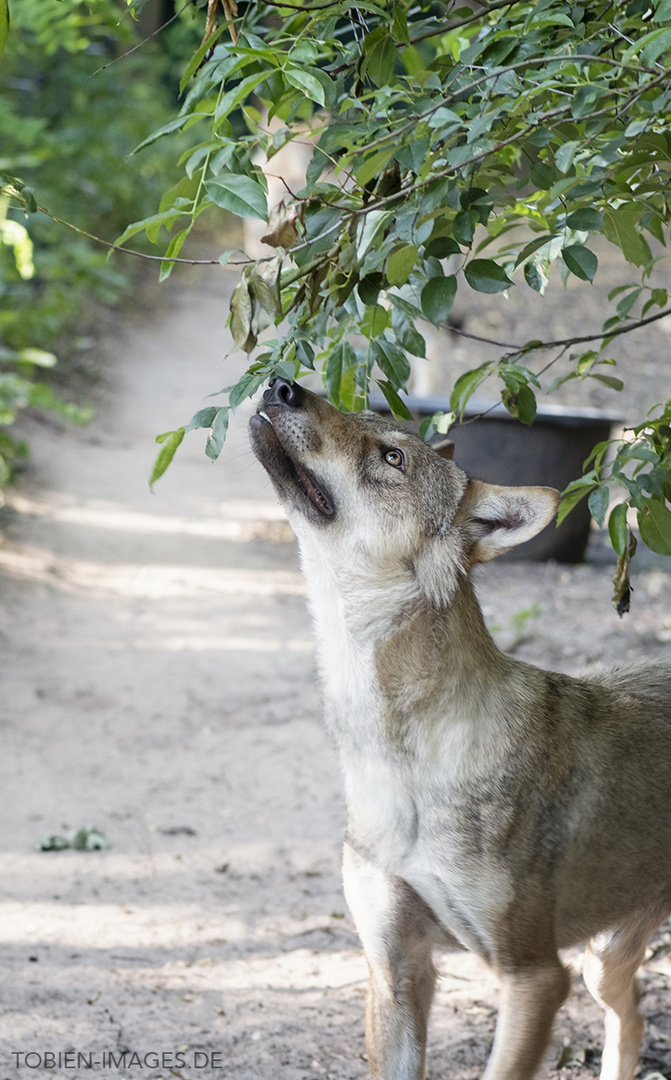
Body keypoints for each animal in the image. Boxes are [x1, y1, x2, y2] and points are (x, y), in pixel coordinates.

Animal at [249, 378, 669, 1080]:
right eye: (356, 413)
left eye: (391, 458)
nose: (281, 383)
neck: (398, 756)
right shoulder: (395, 971)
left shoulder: (533, 977)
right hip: (601, 963)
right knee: (631, 1018)